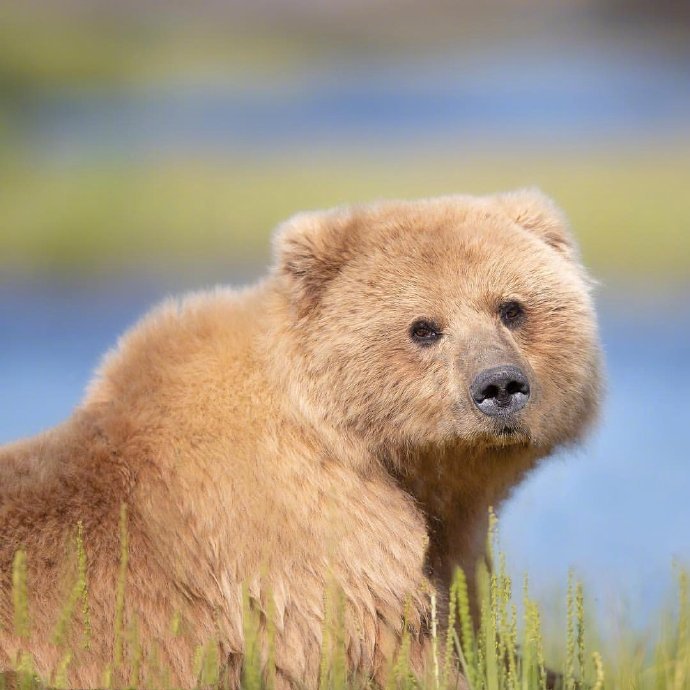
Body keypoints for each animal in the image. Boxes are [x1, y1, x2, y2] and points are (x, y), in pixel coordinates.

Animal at [0, 189, 600, 688]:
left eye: (512, 308)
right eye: (424, 327)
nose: (499, 385)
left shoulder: (452, 535)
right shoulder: (305, 538)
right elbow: (393, 646)